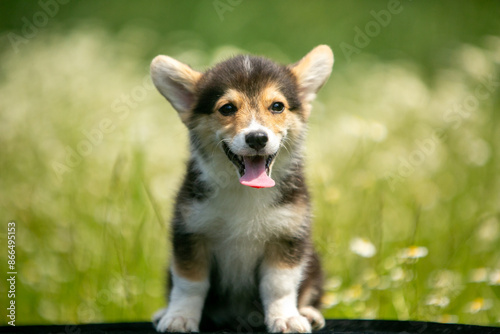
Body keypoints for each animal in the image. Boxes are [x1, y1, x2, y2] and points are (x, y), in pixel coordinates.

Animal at [150, 45, 334, 332]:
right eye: (227, 108)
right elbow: (190, 284)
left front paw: (286, 318)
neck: (247, 192)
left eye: (277, 106)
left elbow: (280, 285)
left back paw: (308, 312)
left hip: (313, 262)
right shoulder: (190, 233)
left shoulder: (287, 236)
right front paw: (179, 317)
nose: (257, 138)